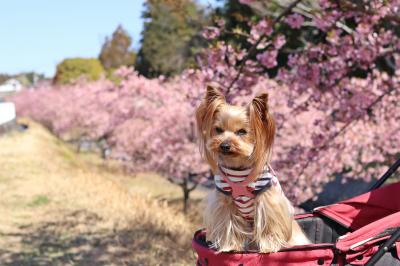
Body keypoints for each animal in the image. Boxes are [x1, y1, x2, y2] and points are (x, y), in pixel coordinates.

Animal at [197, 85, 310, 254]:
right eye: (218, 130)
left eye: (242, 132)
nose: (224, 145)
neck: (238, 168)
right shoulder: (225, 202)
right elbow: (228, 223)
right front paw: (230, 247)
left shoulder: (268, 200)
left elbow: (269, 224)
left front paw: (268, 248)